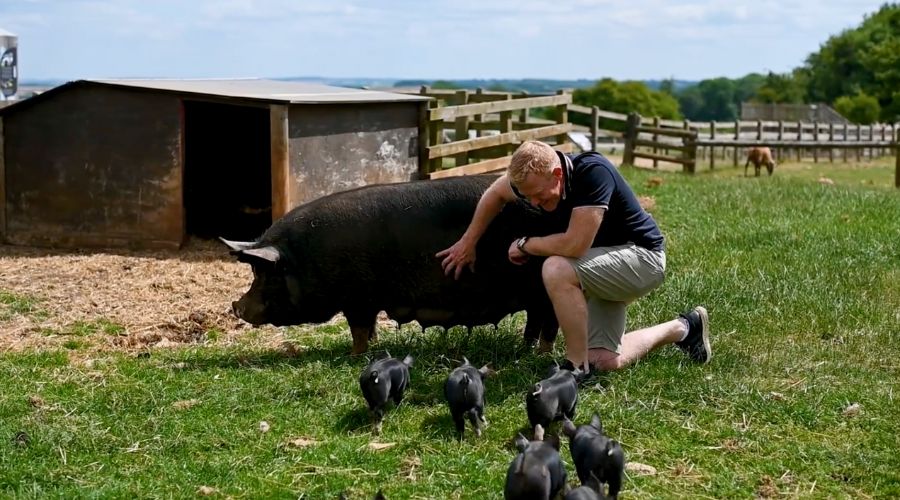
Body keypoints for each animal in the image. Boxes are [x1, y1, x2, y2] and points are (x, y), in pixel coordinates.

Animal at [223, 174, 564, 354]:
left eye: (265, 273)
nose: (236, 307)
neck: (306, 258)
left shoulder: (358, 298)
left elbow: (359, 329)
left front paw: (355, 355)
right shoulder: (365, 301)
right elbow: (369, 328)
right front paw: (370, 348)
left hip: (542, 289)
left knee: (549, 321)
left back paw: (540, 353)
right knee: (535, 320)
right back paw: (525, 348)